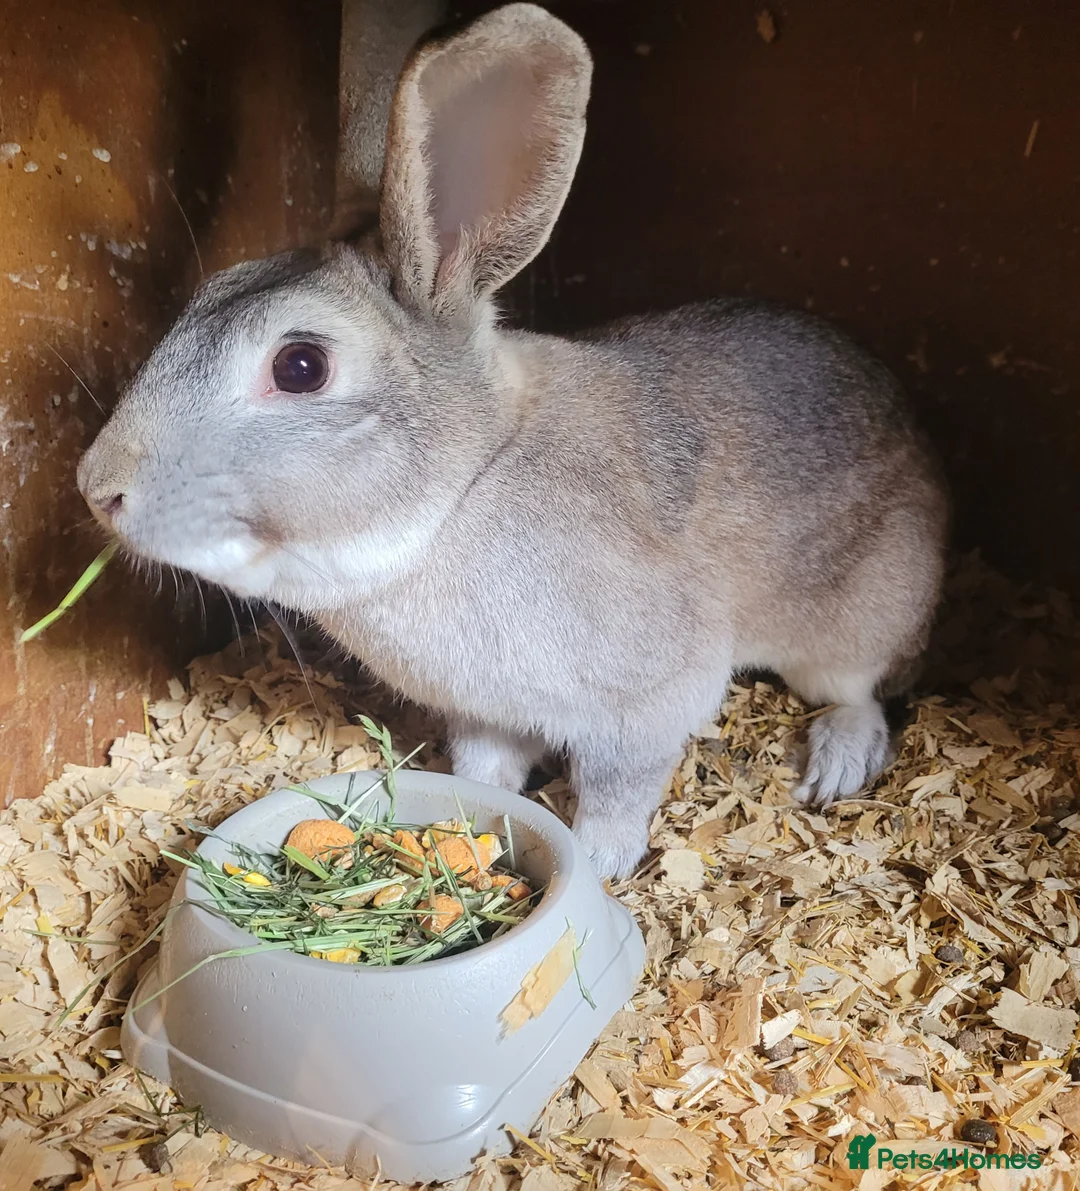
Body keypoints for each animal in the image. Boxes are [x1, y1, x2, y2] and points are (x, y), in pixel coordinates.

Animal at [76, 2, 947, 880]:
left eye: (300, 366)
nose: (98, 486)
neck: (464, 487)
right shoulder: (486, 713)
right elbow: (484, 768)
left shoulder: (645, 705)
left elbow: (617, 792)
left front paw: (596, 865)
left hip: (851, 625)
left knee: (862, 692)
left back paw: (835, 762)